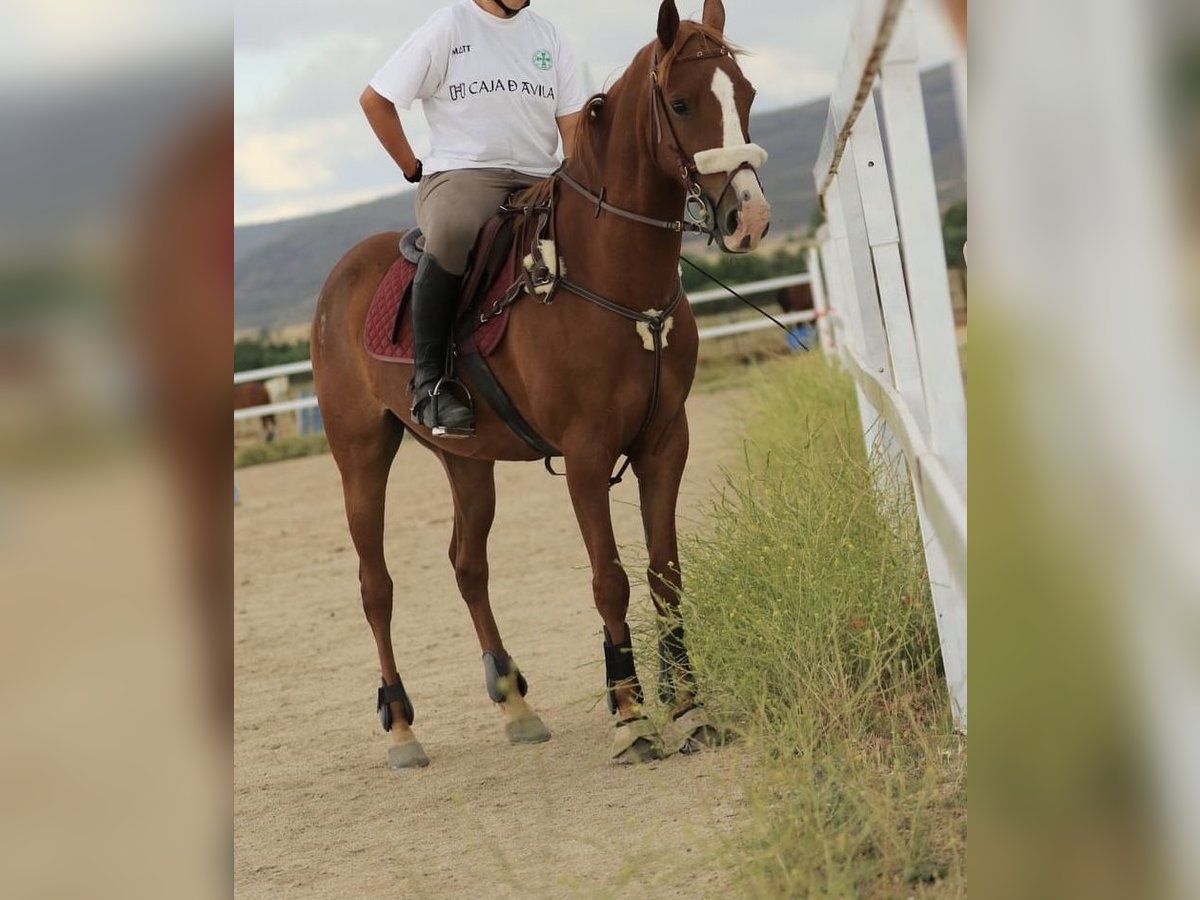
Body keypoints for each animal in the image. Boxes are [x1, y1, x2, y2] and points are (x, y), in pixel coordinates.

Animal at [312, 0, 770, 768]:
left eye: (748, 95)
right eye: (680, 103)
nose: (750, 218)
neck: (613, 281)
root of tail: (341, 274)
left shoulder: (663, 444)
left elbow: (664, 574)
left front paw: (688, 709)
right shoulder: (586, 458)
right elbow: (610, 579)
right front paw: (630, 718)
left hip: (465, 462)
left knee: (468, 566)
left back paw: (515, 704)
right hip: (360, 457)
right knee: (376, 587)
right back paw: (402, 726)